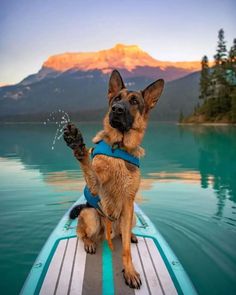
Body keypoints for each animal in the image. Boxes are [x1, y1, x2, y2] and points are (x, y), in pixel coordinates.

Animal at [63, 70, 164, 290]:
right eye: (117, 99)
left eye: (134, 101)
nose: (116, 109)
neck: (119, 148)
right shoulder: (95, 186)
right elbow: (88, 166)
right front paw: (78, 145)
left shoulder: (128, 203)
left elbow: (126, 250)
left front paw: (130, 271)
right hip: (91, 216)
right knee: (81, 233)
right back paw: (89, 242)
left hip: (130, 216)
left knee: (123, 234)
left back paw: (131, 235)